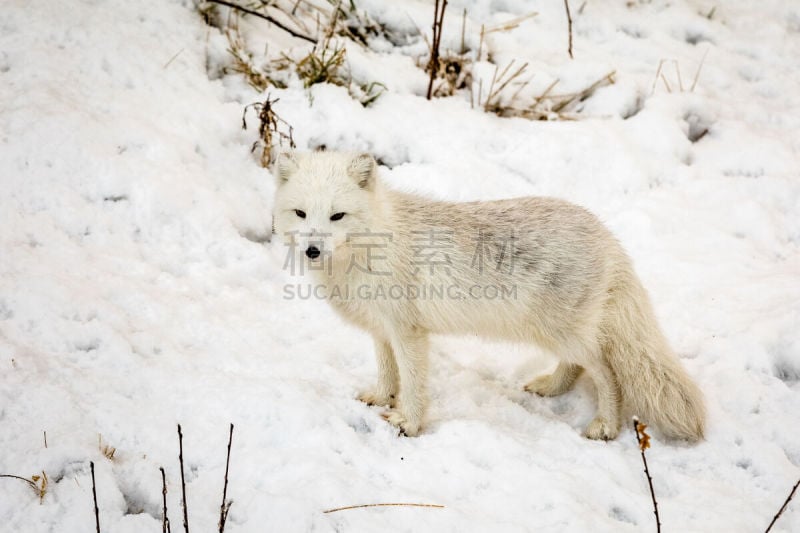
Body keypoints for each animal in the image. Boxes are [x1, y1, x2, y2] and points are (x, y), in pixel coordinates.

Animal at [274, 151, 708, 440]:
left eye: (337, 216)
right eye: (301, 214)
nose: (312, 250)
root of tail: (606, 234)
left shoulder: (409, 331)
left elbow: (412, 382)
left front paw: (409, 423)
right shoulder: (382, 329)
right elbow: (387, 372)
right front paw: (382, 399)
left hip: (560, 332)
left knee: (607, 372)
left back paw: (605, 425)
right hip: (555, 332)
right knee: (578, 367)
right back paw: (552, 388)